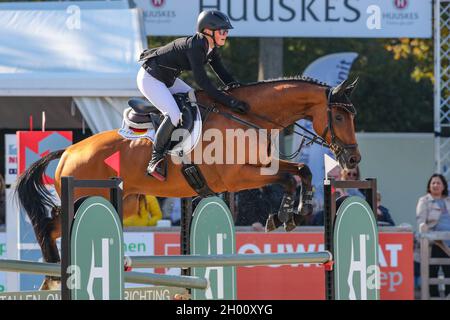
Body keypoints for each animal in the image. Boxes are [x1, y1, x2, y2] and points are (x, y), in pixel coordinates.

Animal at [14, 75, 362, 290]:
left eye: (352, 116)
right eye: (339, 117)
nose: (353, 160)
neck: (248, 116)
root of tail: (69, 150)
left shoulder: (262, 166)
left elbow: (300, 171)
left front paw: (293, 213)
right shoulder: (237, 176)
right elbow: (290, 176)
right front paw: (289, 213)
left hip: (123, 202)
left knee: (53, 225)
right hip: (83, 195)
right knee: (49, 224)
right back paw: (51, 274)